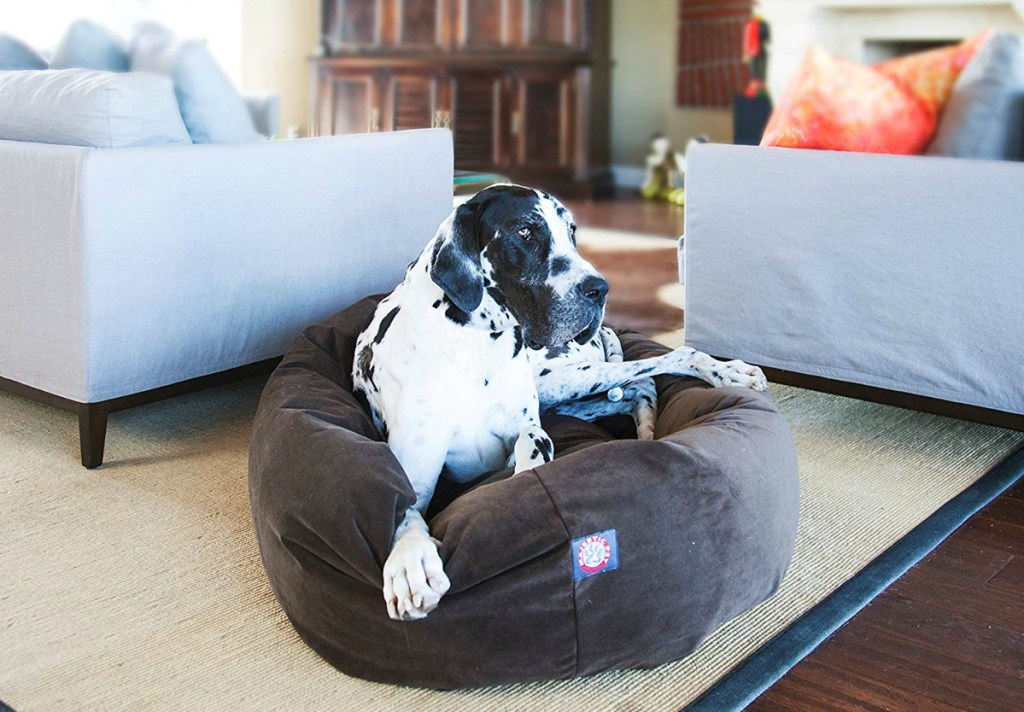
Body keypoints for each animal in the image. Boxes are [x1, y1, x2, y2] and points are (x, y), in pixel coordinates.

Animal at [356, 185, 765, 622]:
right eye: (524, 231)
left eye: (572, 231)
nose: (599, 289)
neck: (475, 344)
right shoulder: (415, 474)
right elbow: (403, 510)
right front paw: (410, 560)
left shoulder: (531, 428)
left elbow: (527, 452)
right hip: (562, 387)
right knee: (639, 385)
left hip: (568, 379)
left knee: (655, 372)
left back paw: (721, 379)